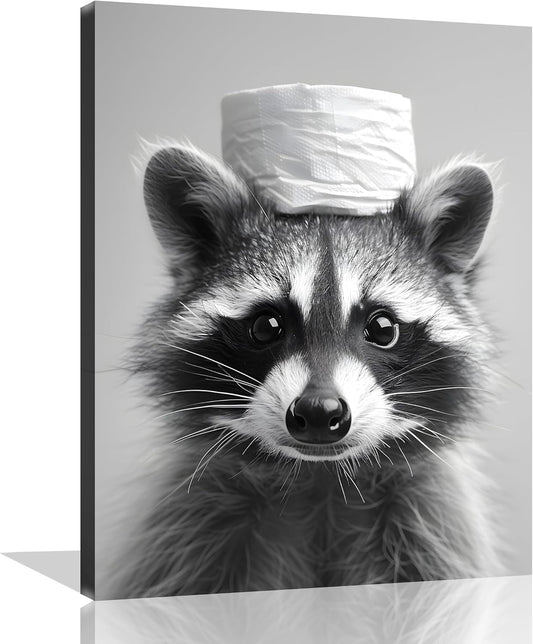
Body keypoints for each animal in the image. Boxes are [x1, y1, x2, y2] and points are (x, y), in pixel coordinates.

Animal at [114, 143, 499, 598]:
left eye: (382, 328)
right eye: (266, 326)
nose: (319, 411)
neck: (320, 478)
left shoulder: (429, 527)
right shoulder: (190, 530)